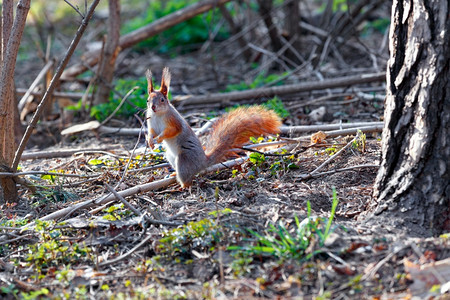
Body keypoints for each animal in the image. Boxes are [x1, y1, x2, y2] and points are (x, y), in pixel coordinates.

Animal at [146, 67, 284, 188]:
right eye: (147, 100)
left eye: (162, 100)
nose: (153, 107)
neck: (158, 115)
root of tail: (203, 162)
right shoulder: (151, 123)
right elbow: (152, 132)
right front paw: (150, 141)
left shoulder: (174, 121)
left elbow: (173, 131)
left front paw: (159, 138)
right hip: (170, 156)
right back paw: (174, 174)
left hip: (184, 160)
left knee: (187, 177)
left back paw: (184, 186)